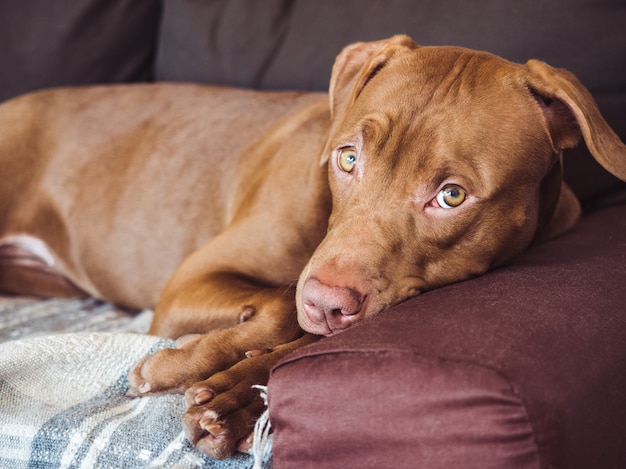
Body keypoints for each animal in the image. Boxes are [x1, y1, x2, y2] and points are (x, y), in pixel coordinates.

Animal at [1, 35, 624, 458]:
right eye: (348, 158)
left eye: (451, 196)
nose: (326, 303)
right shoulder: (190, 281)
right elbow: (282, 304)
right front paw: (178, 366)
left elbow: (292, 327)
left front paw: (238, 398)